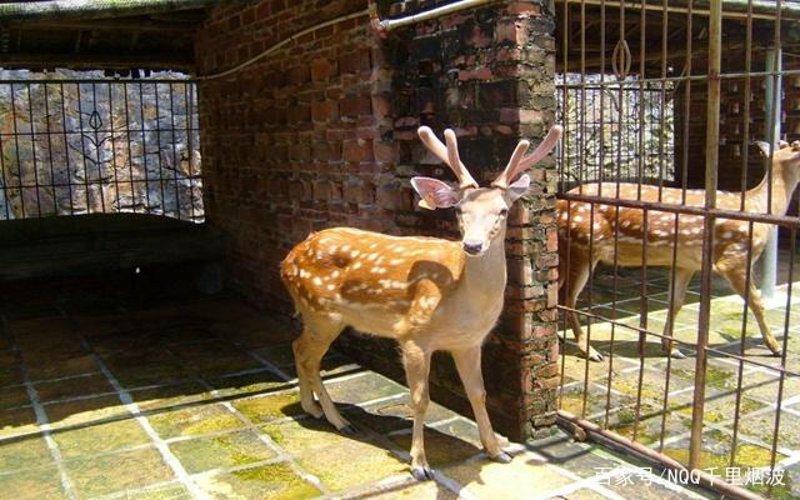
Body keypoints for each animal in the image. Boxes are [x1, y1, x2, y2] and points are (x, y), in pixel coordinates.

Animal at [280, 124, 563, 480]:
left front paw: (496, 449)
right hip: (321, 313)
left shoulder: (470, 342)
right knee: (308, 356)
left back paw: (313, 408)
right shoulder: (413, 336)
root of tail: (286, 261)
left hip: (317, 315)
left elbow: (479, 393)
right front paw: (419, 464)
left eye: (502, 210)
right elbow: (419, 399)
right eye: (459, 210)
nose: (472, 245)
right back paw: (338, 420)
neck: (462, 302)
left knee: (297, 347)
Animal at [558, 140, 800, 362]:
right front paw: (776, 348)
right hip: (583, 245)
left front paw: (671, 348)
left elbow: (675, 302)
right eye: (796, 146)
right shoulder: (734, 256)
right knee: (568, 297)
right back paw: (589, 350)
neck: (757, 210)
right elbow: (757, 302)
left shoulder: (686, 263)